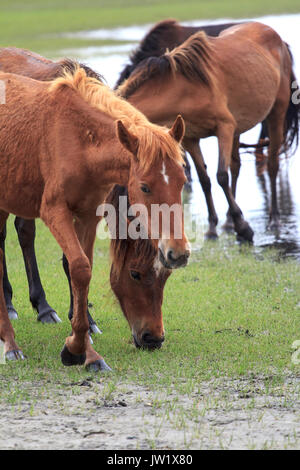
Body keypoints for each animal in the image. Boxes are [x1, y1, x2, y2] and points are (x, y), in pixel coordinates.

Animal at [0, 66, 189, 370]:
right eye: (145, 187)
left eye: (182, 181)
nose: (154, 339)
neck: (79, 139)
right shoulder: (55, 211)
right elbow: (79, 268)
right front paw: (76, 347)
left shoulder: (88, 215)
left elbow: (81, 272)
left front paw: (85, 351)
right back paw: (11, 343)